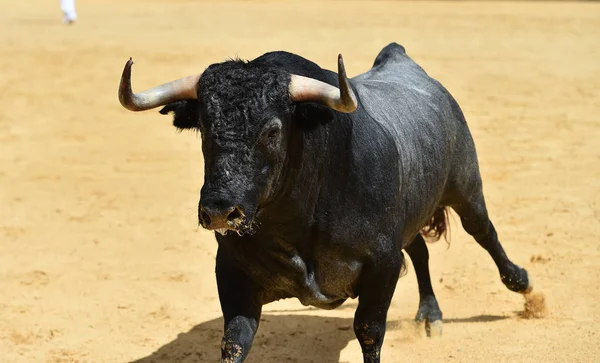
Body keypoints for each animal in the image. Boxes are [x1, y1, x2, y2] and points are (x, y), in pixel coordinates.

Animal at [119, 44, 532, 363]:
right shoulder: (232, 270)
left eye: (272, 131)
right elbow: (235, 339)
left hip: (465, 186)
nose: (220, 210)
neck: (298, 219)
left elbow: (369, 331)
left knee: (484, 232)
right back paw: (429, 315)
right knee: (419, 249)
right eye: (205, 129)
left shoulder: (382, 264)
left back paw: (524, 286)